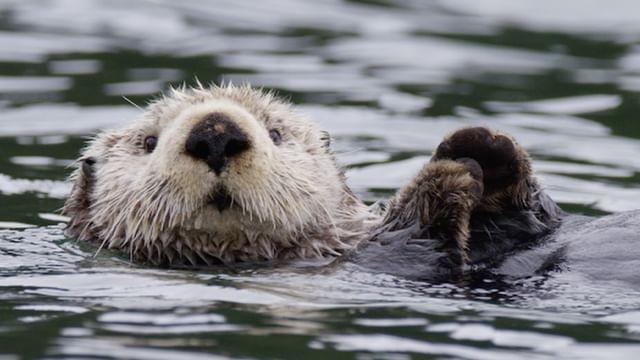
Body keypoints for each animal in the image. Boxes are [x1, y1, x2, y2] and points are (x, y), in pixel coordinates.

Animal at [63, 84, 640, 284]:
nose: (216, 133)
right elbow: (429, 232)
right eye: (148, 141)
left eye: (277, 132)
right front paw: (447, 177)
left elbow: (531, 217)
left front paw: (484, 145)